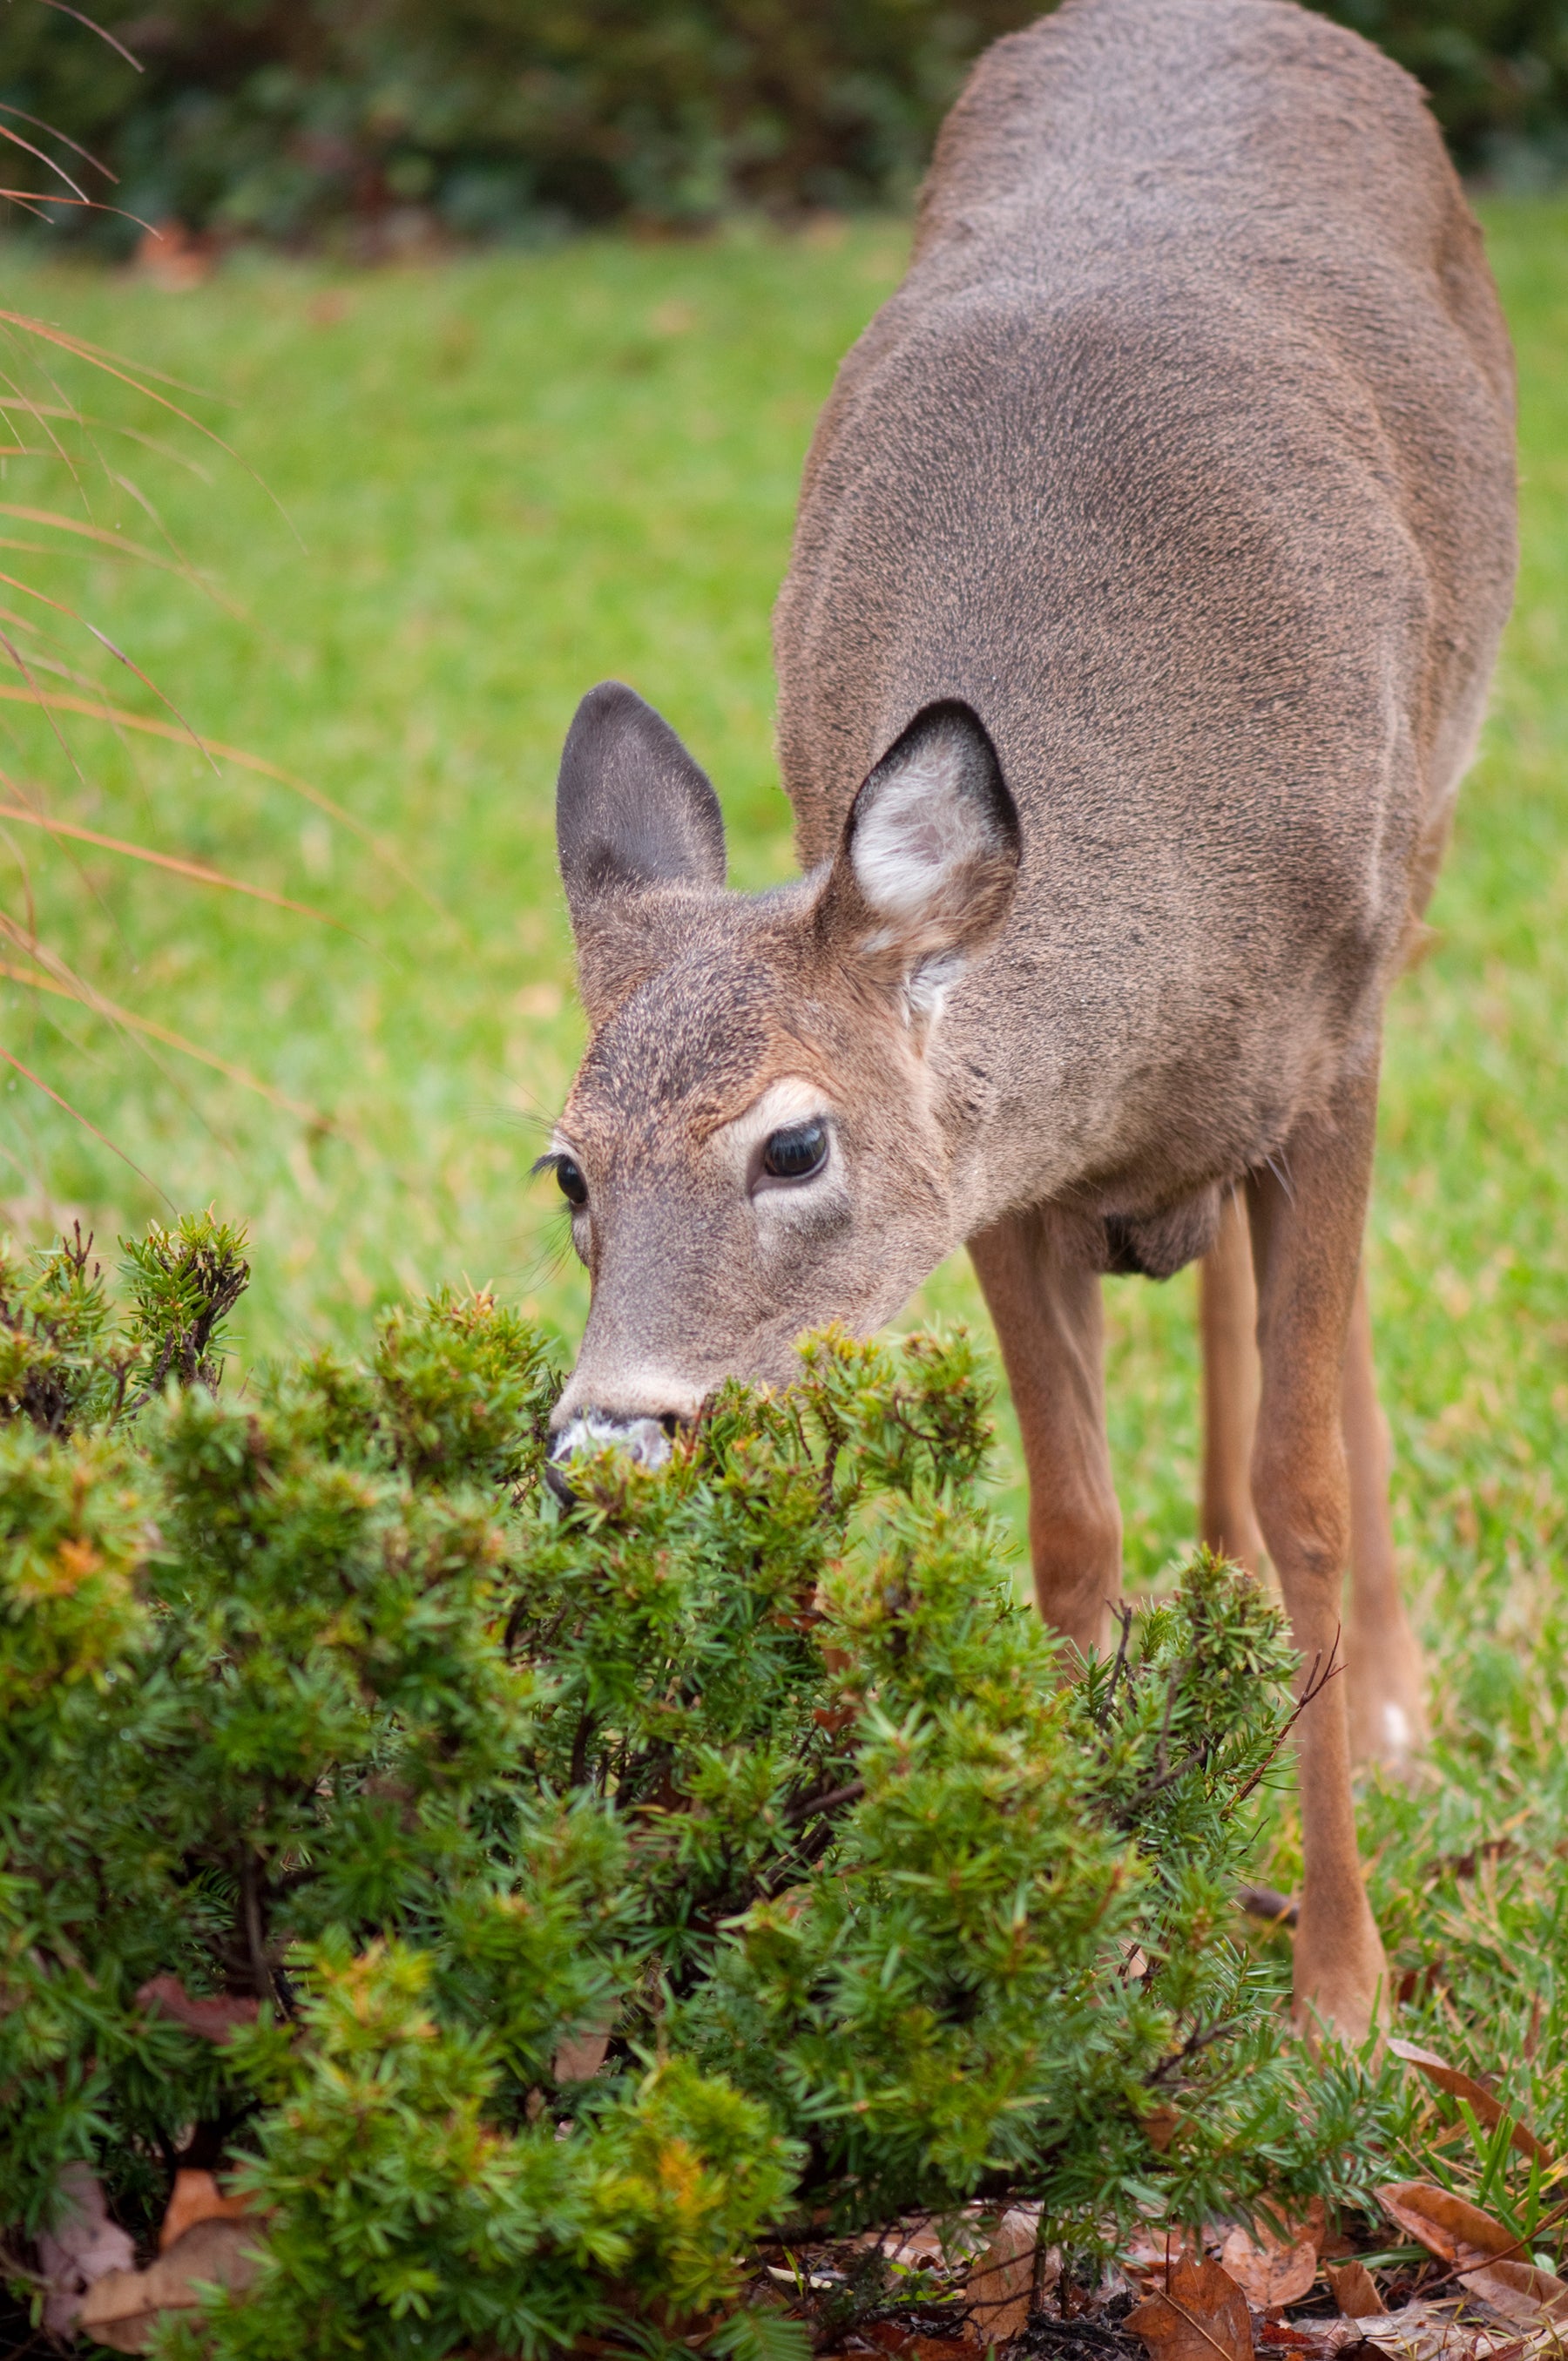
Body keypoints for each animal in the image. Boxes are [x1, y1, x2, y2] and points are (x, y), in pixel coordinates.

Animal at [543, 0, 1520, 2040]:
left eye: (795, 1140)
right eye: (567, 1169)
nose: (608, 1439)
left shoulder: (1329, 1052)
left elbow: (1311, 1488)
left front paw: (1341, 1990)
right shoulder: (1000, 1171)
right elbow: (1073, 1539)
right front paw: (1079, 1936)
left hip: (1427, 854)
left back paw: (1389, 1702)